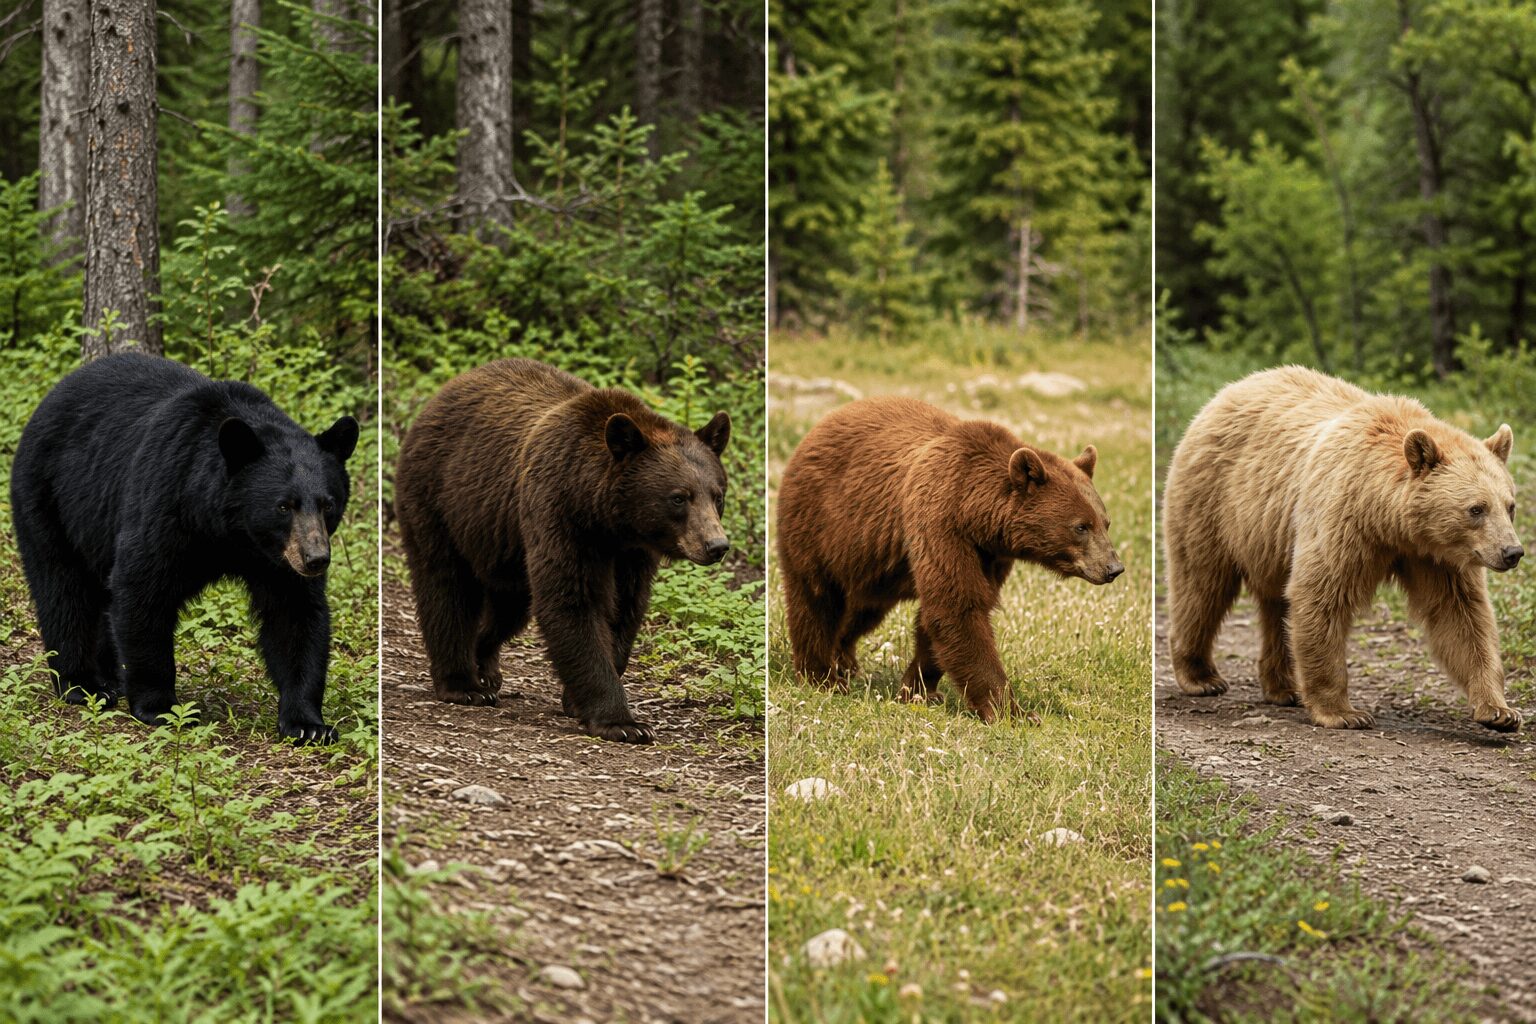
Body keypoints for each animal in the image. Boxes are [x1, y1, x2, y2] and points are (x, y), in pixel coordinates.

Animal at [10, 352, 359, 743]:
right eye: (284, 506)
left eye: (328, 504)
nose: (316, 560)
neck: (231, 533)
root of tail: (51, 396)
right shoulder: (167, 501)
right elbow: (141, 588)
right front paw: (160, 706)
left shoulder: (277, 560)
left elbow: (294, 615)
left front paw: (308, 724)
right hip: (50, 498)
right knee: (63, 590)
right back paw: (82, 684)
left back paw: (111, 677)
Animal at [393, 358, 732, 745]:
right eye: (679, 497)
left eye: (717, 495)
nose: (716, 546)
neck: (607, 518)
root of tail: (439, 396)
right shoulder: (560, 513)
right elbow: (572, 601)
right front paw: (622, 722)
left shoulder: (630, 553)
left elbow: (624, 609)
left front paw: (578, 699)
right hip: (439, 499)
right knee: (447, 586)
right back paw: (463, 684)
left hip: (503, 544)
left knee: (509, 607)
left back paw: (486, 665)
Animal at [775, 396, 1123, 722]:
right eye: (1081, 526)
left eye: (1105, 522)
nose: (1113, 567)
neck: (975, 513)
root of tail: (817, 428)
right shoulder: (941, 524)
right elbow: (958, 606)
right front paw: (1013, 712)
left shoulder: (990, 555)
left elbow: (940, 617)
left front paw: (918, 690)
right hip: (820, 524)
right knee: (816, 599)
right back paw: (821, 676)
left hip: (873, 563)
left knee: (862, 610)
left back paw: (845, 662)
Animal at [1163, 365, 1523, 732]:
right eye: (1476, 509)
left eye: (1509, 505)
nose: (1512, 552)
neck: (1392, 522)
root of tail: (1226, 392)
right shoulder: (1345, 520)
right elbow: (1322, 594)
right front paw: (1344, 712)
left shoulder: (1437, 557)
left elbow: (1461, 616)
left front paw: (1499, 710)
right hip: (1213, 501)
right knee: (1202, 584)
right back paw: (1201, 676)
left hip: (1270, 538)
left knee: (1275, 603)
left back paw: (1283, 687)